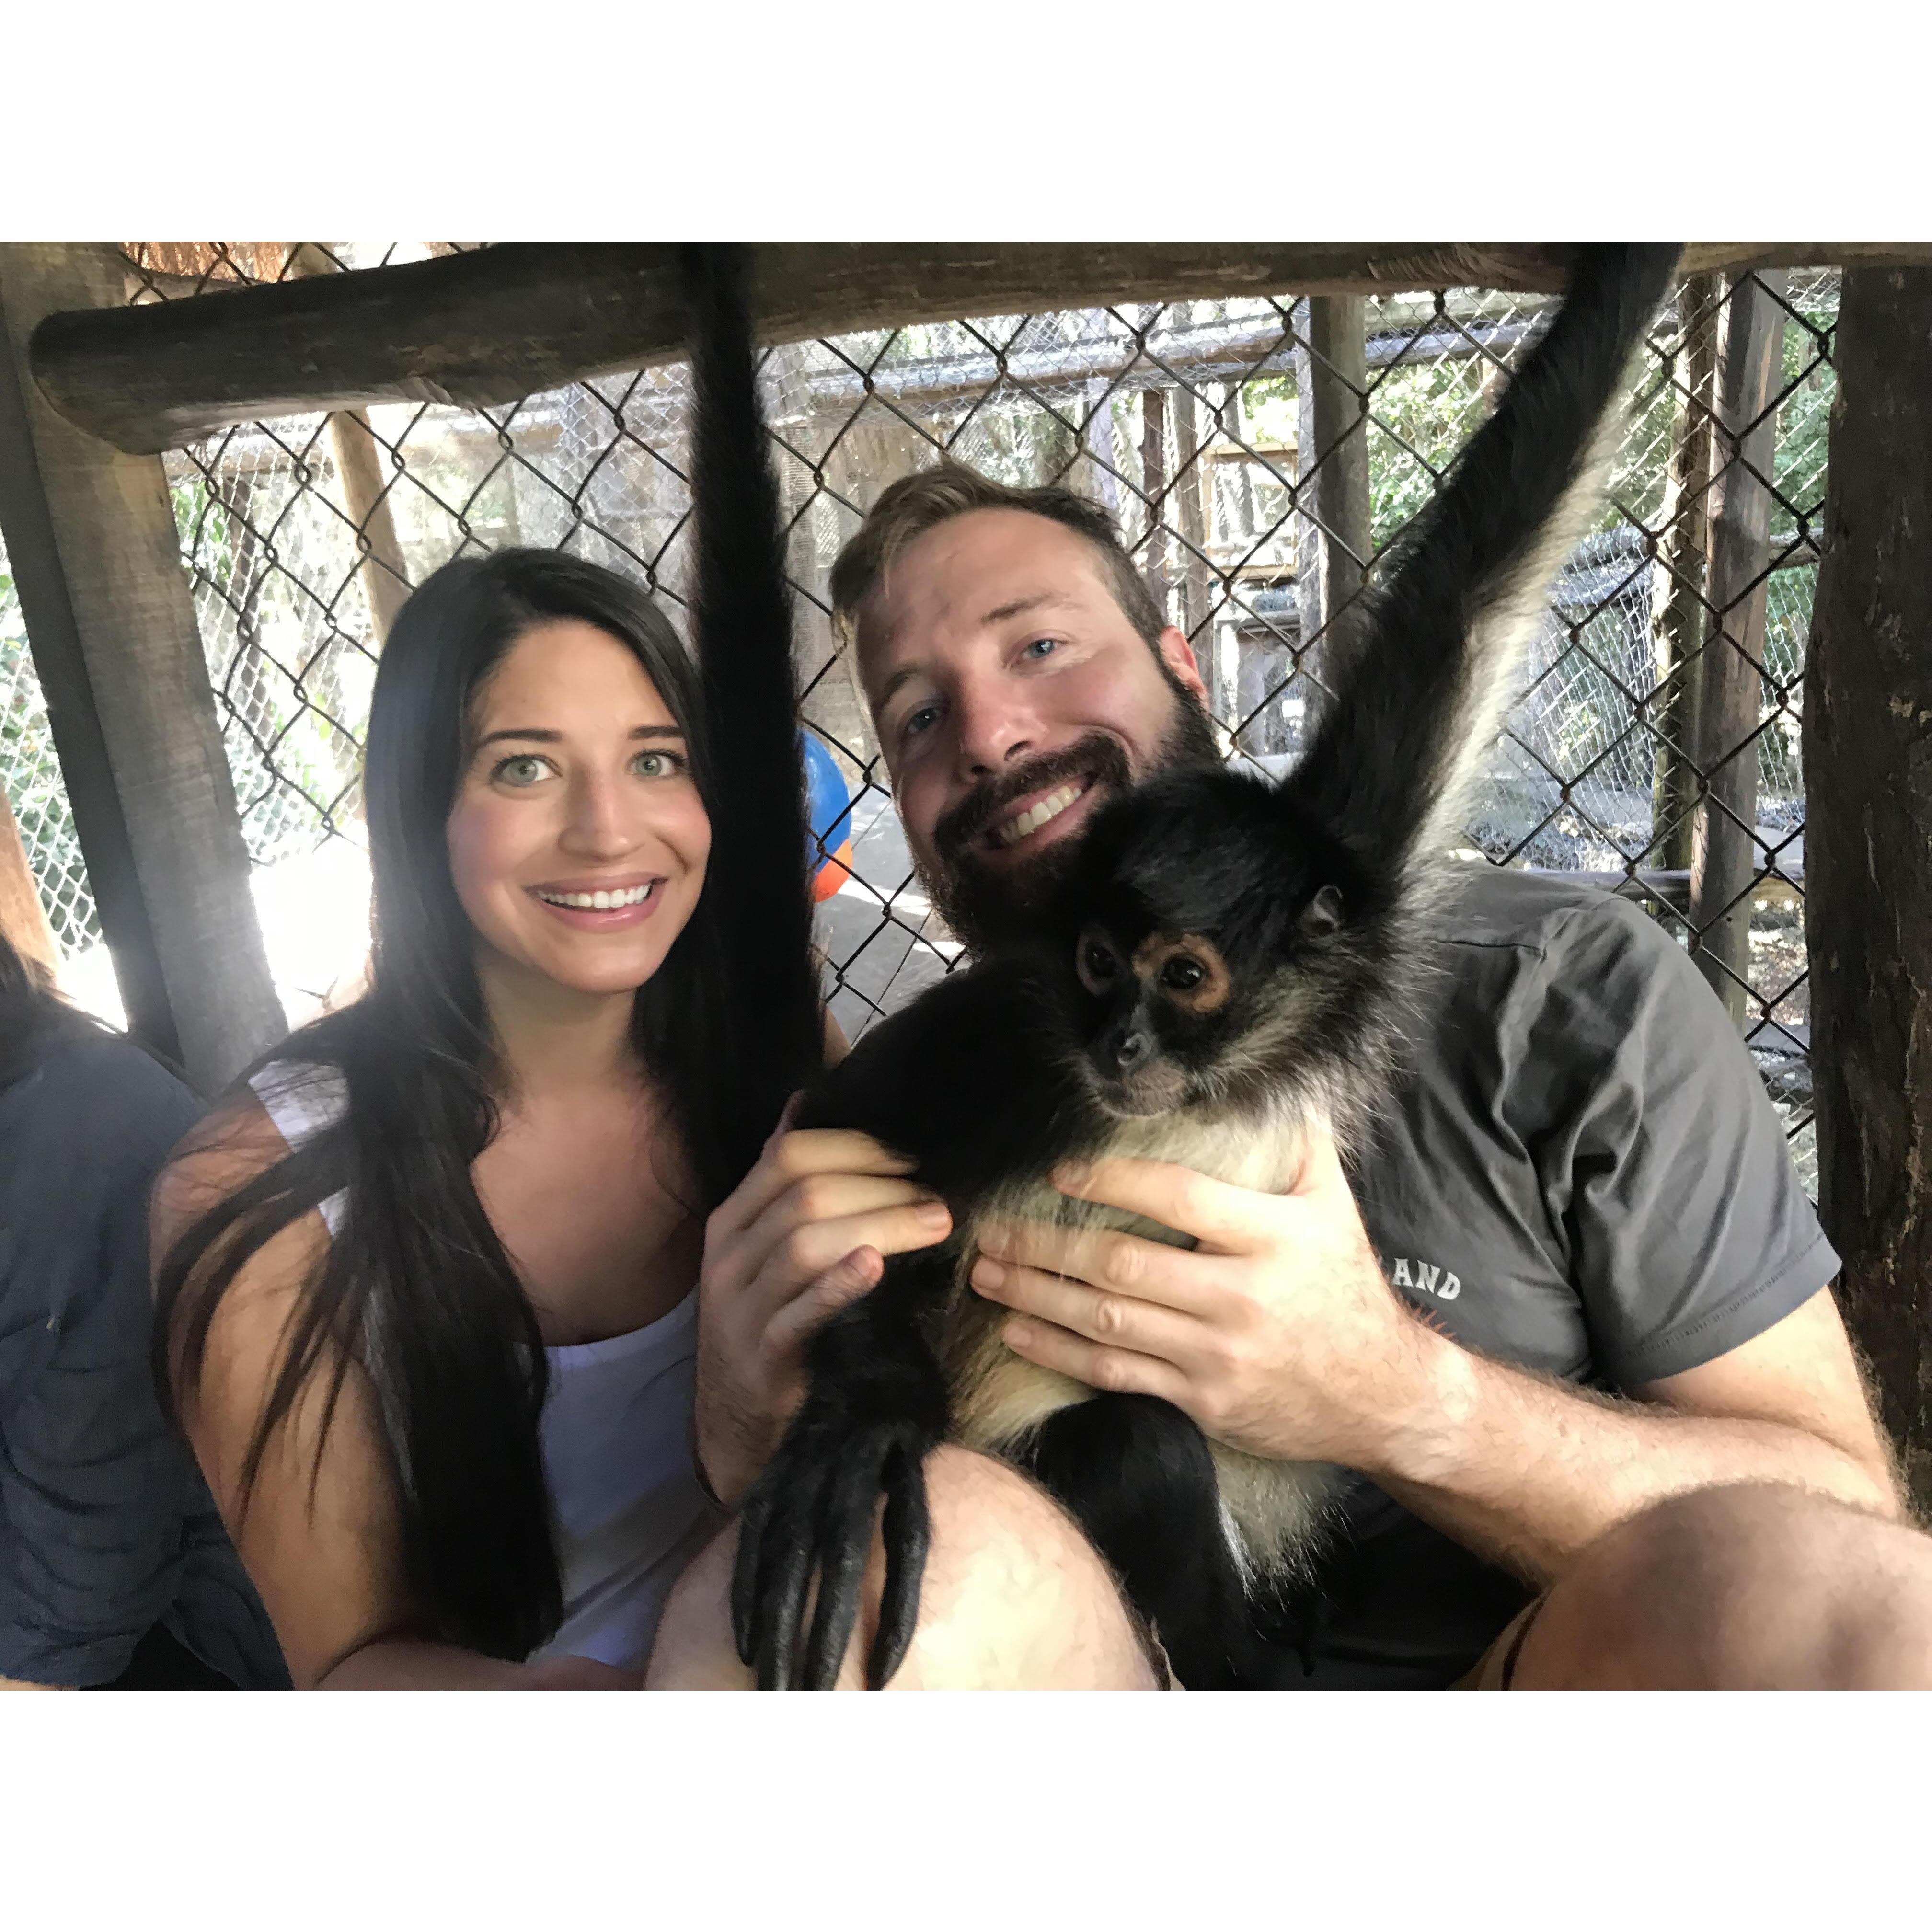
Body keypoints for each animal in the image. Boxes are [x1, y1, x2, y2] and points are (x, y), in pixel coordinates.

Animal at [688, 242, 1684, 1692]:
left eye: (1187, 978)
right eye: (1101, 965)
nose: (1122, 1049)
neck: (1206, 1091)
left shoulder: (1357, 880)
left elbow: (1476, 585)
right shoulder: (1021, 1036)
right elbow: (832, 1129)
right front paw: (864, 1423)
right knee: (1135, 1442)